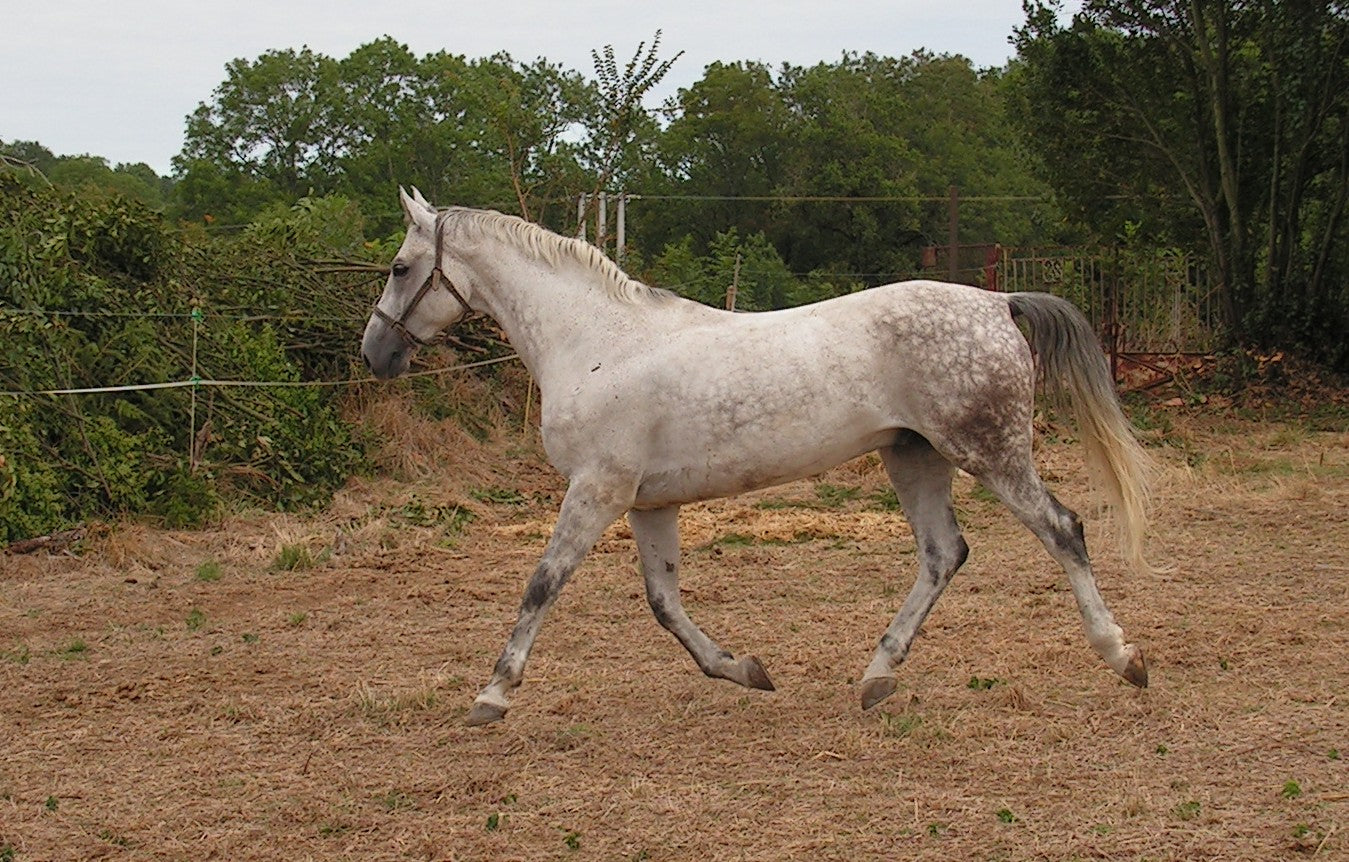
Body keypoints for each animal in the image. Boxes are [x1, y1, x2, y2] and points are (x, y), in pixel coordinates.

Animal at [361, 188, 1153, 726]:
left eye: (400, 268)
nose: (376, 355)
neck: (594, 342)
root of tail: (996, 303)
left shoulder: (598, 491)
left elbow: (542, 584)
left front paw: (492, 694)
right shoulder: (648, 503)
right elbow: (664, 603)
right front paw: (743, 669)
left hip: (988, 452)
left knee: (1061, 530)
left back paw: (1123, 657)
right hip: (915, 458)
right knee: (942, 555)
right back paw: (876, 676)